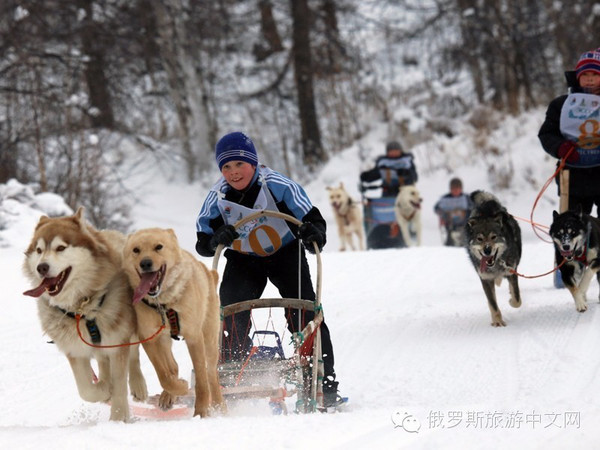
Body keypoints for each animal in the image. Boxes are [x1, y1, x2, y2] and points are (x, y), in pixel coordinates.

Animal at [22, 208, 147, 422]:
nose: (41, 267)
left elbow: (120, 384)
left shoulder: (117, 341)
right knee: (103, 362)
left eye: (61, 248)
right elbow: (86, 390)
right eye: (39, 250)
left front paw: (118, 418)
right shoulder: (74, 349)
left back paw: (138, 385)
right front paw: (104, 390)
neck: (82, 309)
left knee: (133, 355)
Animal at [122, 229, 225, 418]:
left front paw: (201, 411)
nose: (145, 263)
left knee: (211, 375)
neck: (164, 303)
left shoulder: (194, 337)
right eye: (136, 250)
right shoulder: (150, 339)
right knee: (173, 367)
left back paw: (219, 406)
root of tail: (210, 274)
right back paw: (168, 395)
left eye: (159, 247)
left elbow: (201, 379)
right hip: (164, 340)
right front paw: (180, 387)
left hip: (210, 340)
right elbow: (164, 375)